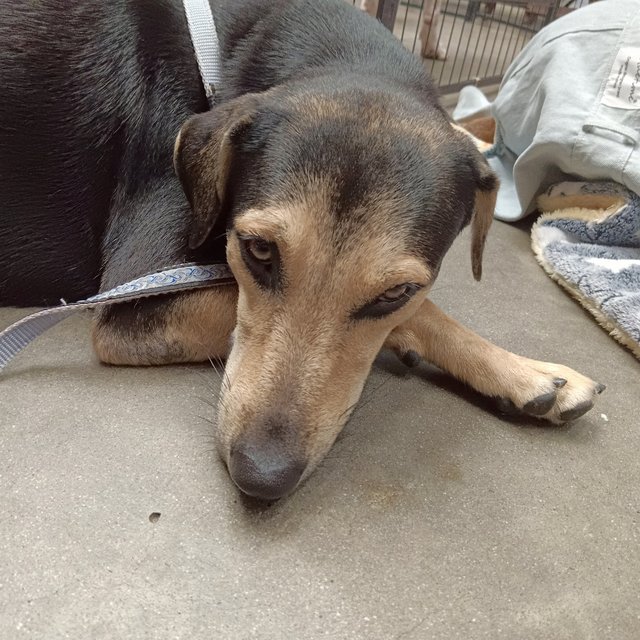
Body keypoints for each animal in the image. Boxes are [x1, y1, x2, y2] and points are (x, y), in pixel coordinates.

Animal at [0, 0, 604, 500]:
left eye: (394, 291)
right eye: (258, 251)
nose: (261, 476)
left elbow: (421, 310)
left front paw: (523, 376)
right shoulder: (138, 299)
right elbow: (427, 313)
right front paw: (523, 371)